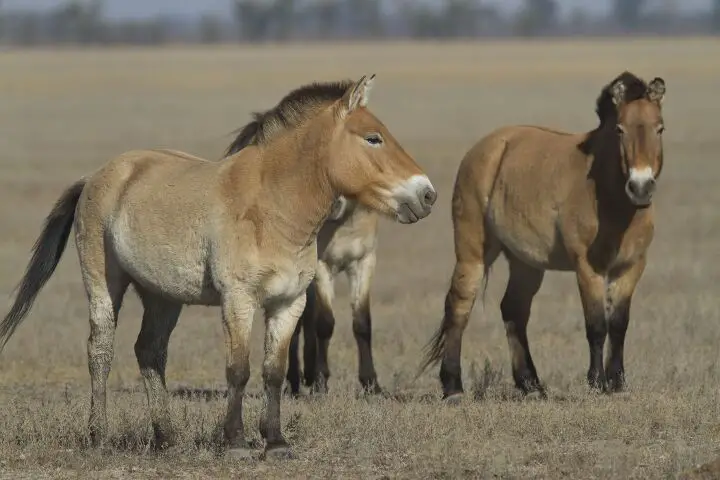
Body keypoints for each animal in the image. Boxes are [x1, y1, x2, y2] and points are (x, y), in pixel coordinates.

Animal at [225, 83, 386, 398]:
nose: (335, 204)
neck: (343, 226)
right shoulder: (322, 267)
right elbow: (324, 323)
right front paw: (321, 381)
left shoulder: (364, 262)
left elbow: (362, 323)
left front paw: (371, 383)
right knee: (302, 324)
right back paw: (298, 379)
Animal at [422, 71, 664, 402]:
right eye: (619, 129)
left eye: (660, 128)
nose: (640, 187)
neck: (611, 199)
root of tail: (485, 148)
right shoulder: (587, 268)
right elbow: (596, 325)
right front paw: (597, 382)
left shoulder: (631, 268)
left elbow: (619, 324)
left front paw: (617, 382)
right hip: (473, 253)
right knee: (459, 307)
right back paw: (453, 387)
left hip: (526, 263)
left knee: (514, 309)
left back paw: (530, 384)